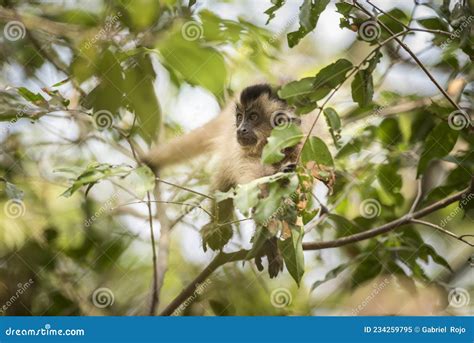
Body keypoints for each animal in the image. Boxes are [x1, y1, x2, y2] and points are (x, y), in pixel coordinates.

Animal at [143, 84, 302, 278]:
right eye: (240, 117)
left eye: (253, 117)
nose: (240, 129)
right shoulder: (243, 156)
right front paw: (269, 244)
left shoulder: (299, 146)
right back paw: (217, 227)